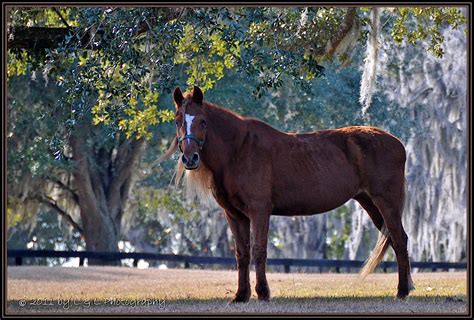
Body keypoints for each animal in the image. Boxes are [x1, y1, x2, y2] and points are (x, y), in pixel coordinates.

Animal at [164, 85, 414, 302]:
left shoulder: (259, 211)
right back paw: (407, 287)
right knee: (394, 240)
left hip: (386, 202)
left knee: (399, 239)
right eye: (177, 121)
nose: (190, 158)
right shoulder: (235, 215)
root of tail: (398, 143)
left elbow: (259, 250)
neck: (239, 150)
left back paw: (402, 291)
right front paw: (240, 295)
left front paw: (263, 293)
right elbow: (242, 254)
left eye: (203, 121)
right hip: (369, 203)